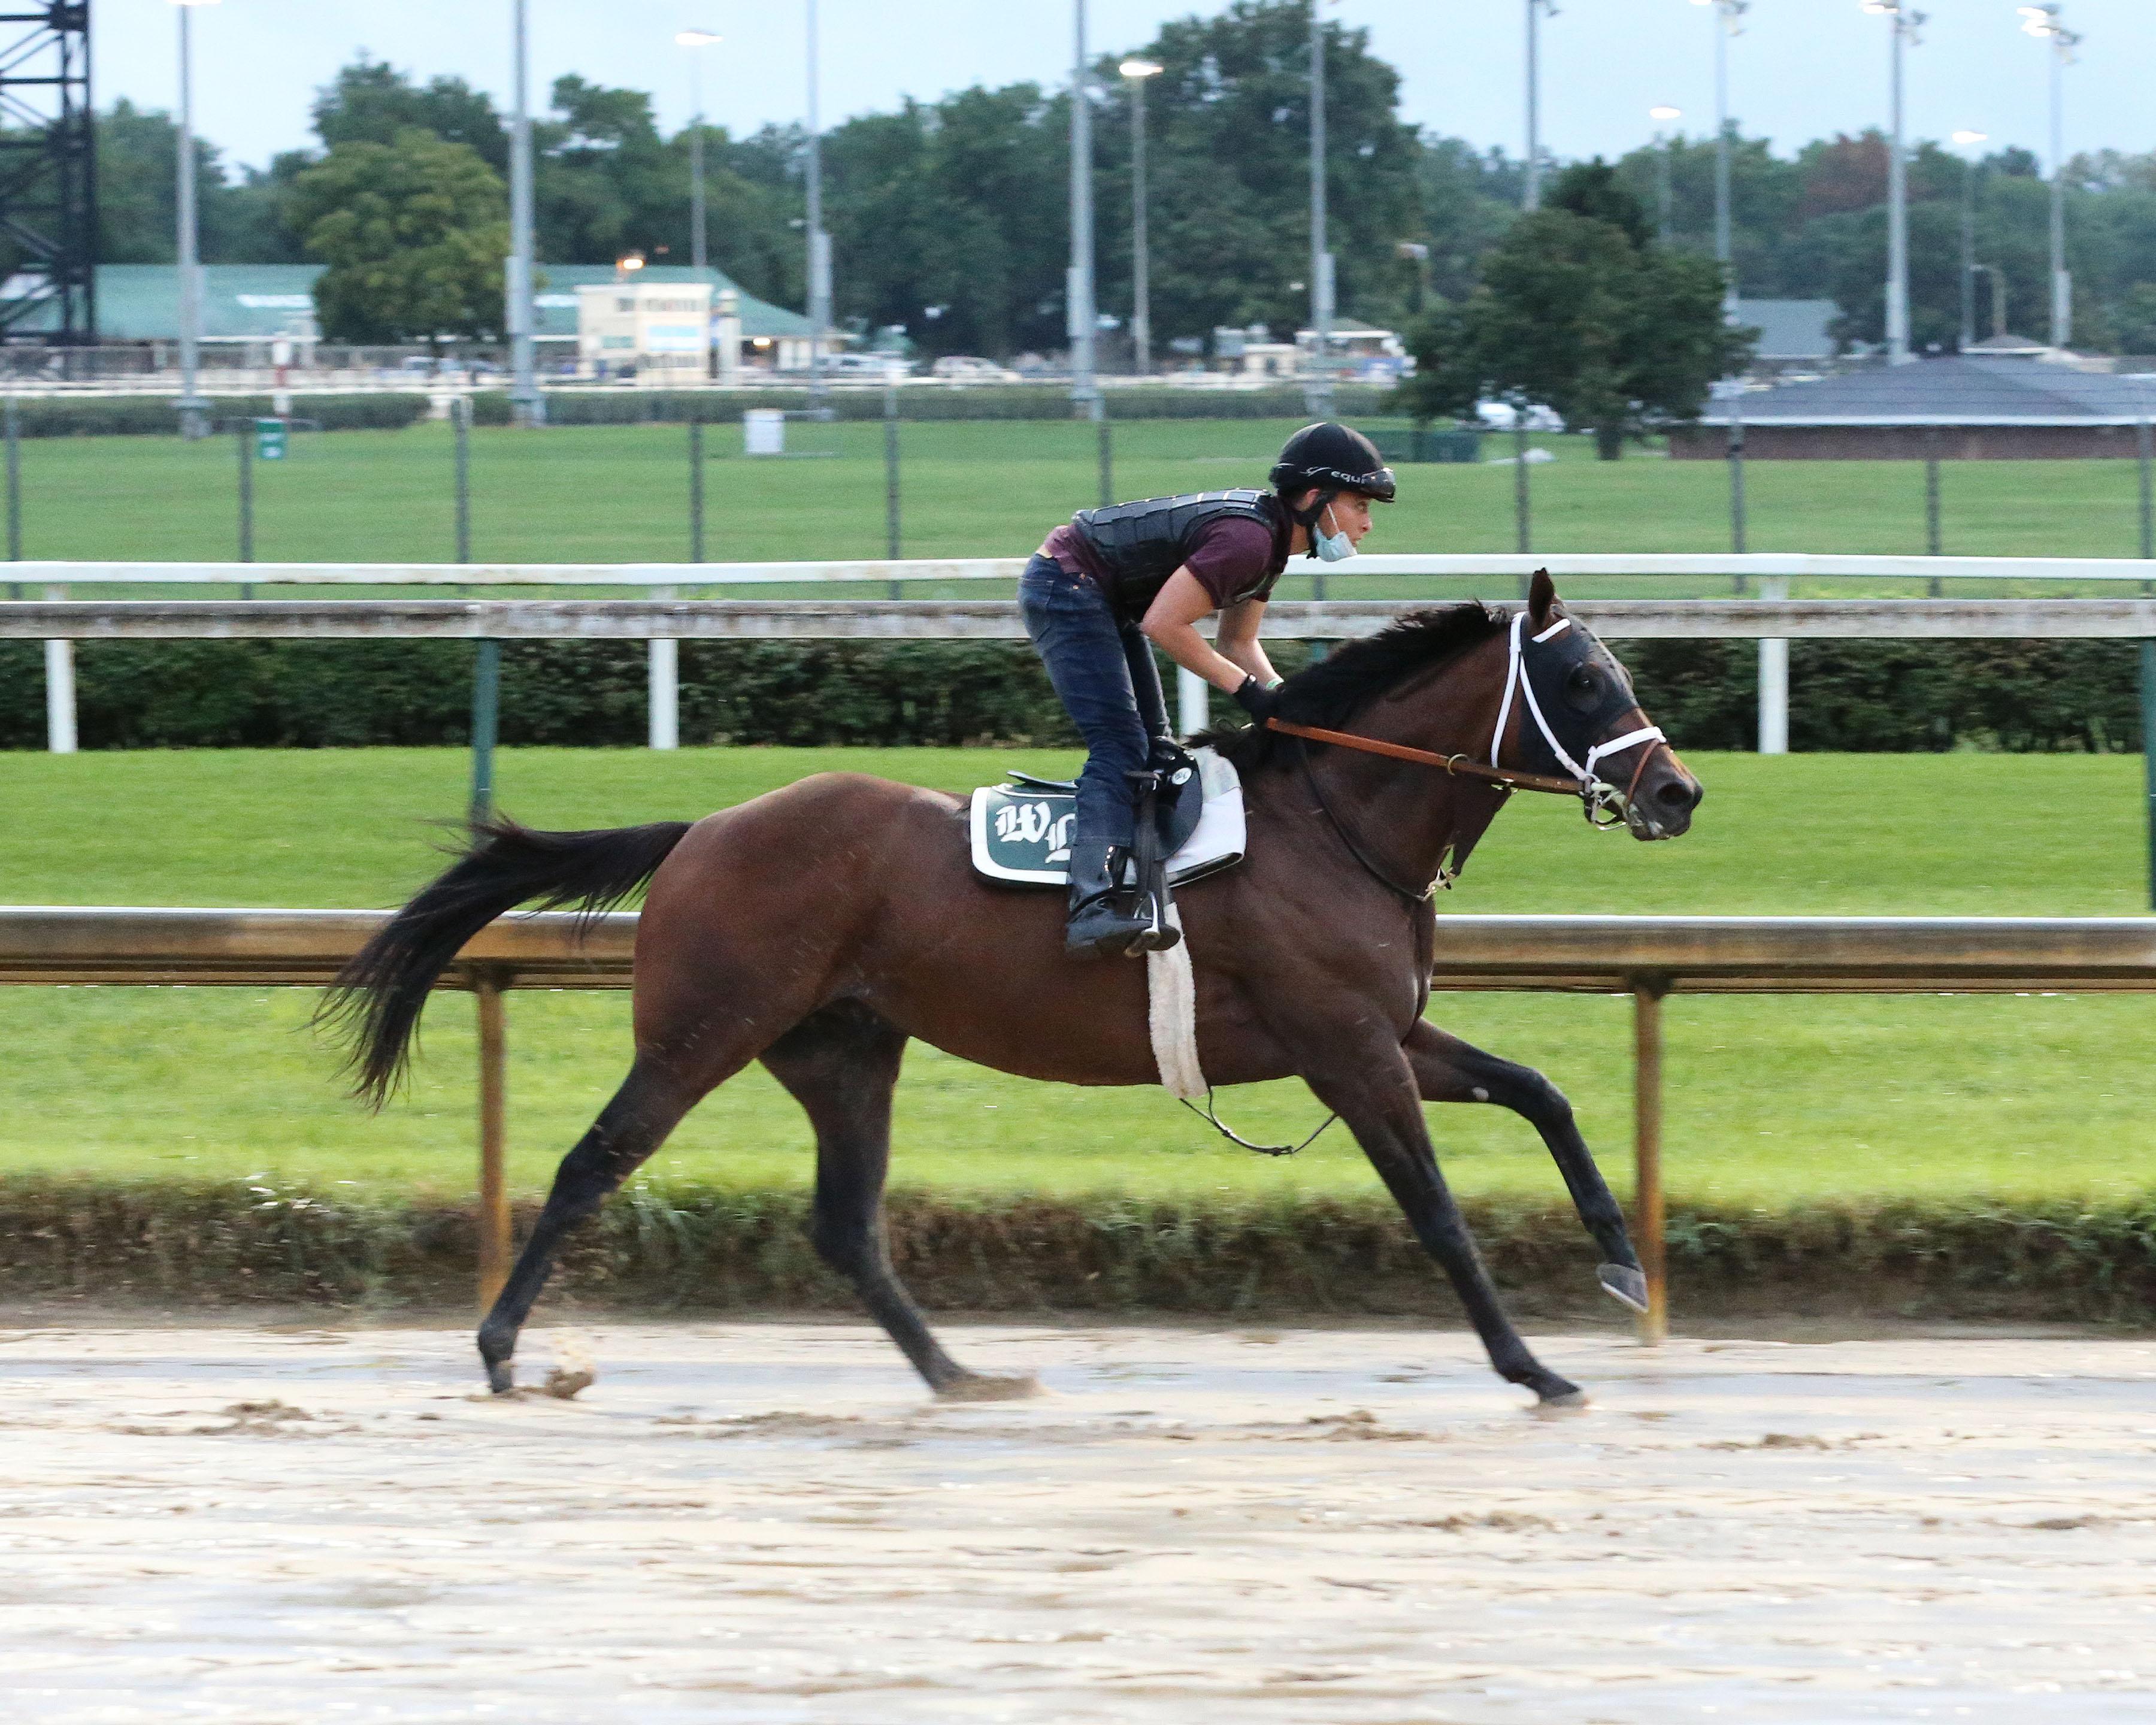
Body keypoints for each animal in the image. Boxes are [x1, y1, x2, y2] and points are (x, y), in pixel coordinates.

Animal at [323, 573, 1698, 1406]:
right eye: (1584, 680)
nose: (1678, 791)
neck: (1337, 821)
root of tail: (704, 829)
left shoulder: (1385, 1033)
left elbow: (1543, 1093)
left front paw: (1622, 1270)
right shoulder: (1348, 1049)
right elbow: (1439, 1213)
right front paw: (1533, 1367)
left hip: (844, 1047)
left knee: (845, 1224)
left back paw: (960, 1376)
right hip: (702, 1031)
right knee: (590, 1166)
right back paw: (502, 1350)